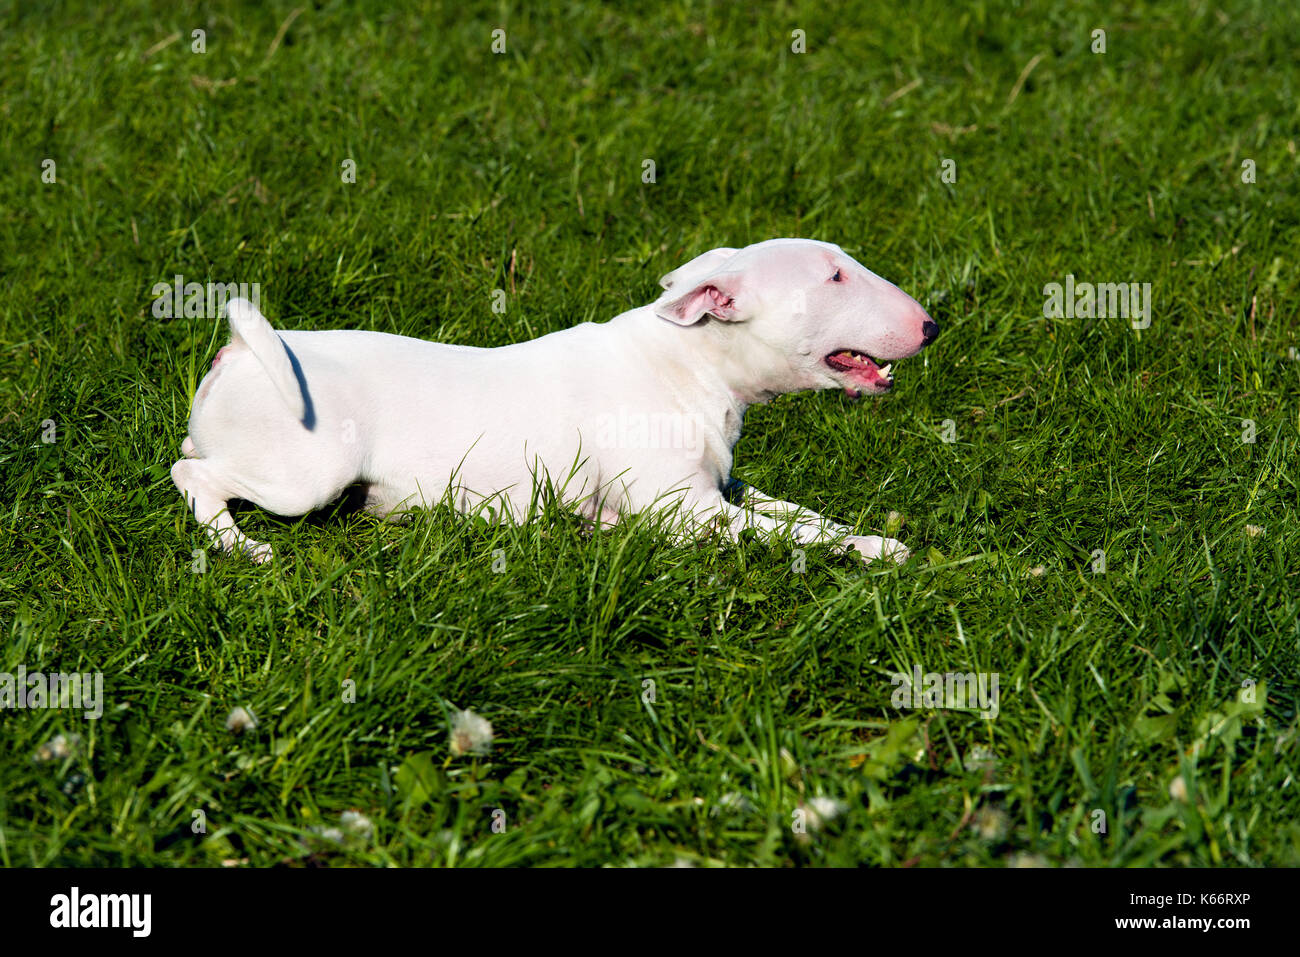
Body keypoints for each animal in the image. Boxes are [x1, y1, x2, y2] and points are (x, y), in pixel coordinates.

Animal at [175, 239, 935, 564]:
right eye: (835, 277)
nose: (930, 325)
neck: (686, 363)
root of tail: (238, 352)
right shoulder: (686, 513)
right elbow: (792, 533)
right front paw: (879, 552)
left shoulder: (722, 484)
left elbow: (801, 513)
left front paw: (874, 535)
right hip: (307, 475)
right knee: (194, 473)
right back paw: (238, 543)